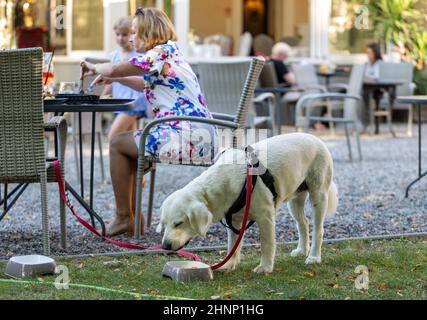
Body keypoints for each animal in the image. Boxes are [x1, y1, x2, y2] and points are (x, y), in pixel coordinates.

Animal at [155, 134, 340, 274]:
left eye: (178, 223)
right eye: (164, 224)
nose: (165, 246)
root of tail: (317, 138)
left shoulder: (265, 216)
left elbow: (267, 244)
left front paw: (265, 267)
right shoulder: (234, 221)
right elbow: (232, 246)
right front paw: (229, 265)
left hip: (318, 196)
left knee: (318, 229)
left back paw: (314, 257)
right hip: (295, 200)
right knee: (303, 223)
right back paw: (302, 250)